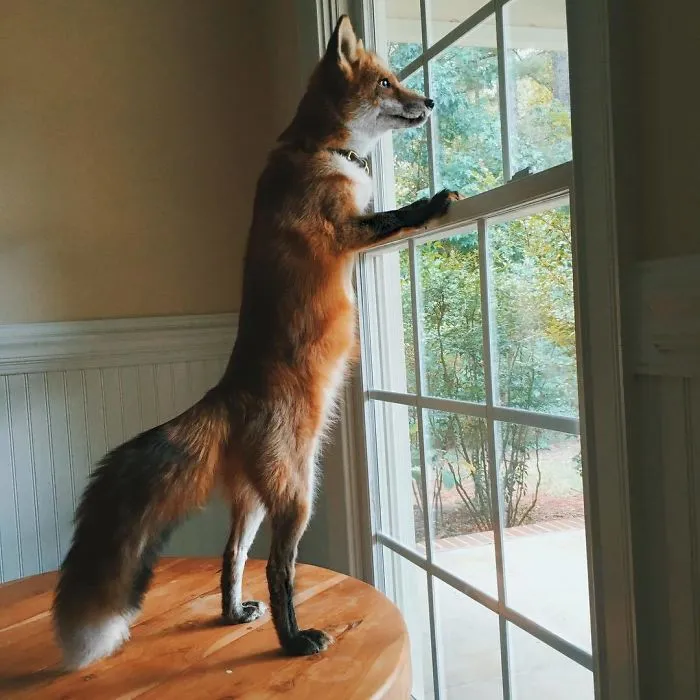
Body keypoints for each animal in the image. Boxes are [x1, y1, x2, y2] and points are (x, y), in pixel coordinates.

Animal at [53, 14, 459, 669]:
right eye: (385, 83)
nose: (430, 102)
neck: (323, 151)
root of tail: (229, 388)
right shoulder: (343, 228)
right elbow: (392, 217)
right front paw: (434, 201)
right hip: (297, 496)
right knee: (278, 570)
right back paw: (293, 640)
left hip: (253, 503)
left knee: (232, 557)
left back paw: (231, 612)